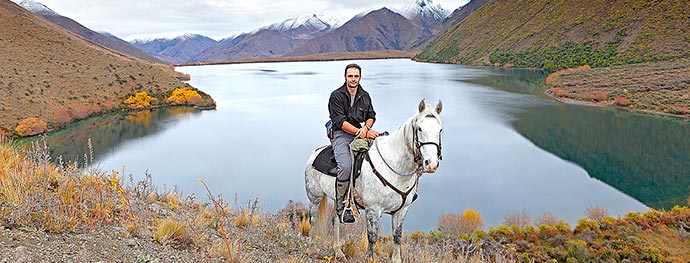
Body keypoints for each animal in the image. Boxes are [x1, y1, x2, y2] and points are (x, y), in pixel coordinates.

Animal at [306, 99, 444, 263]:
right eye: (420, 128)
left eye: (440, 130)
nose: (431, 164)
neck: (394, 167)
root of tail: (315, 153)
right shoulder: (373, 210)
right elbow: (372, 238)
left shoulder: (402, 210)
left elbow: (397, 236)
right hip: (315, 197)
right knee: (313, 220)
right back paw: (311, 249)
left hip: (337, 200)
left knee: (336, 220)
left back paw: (338, 252)